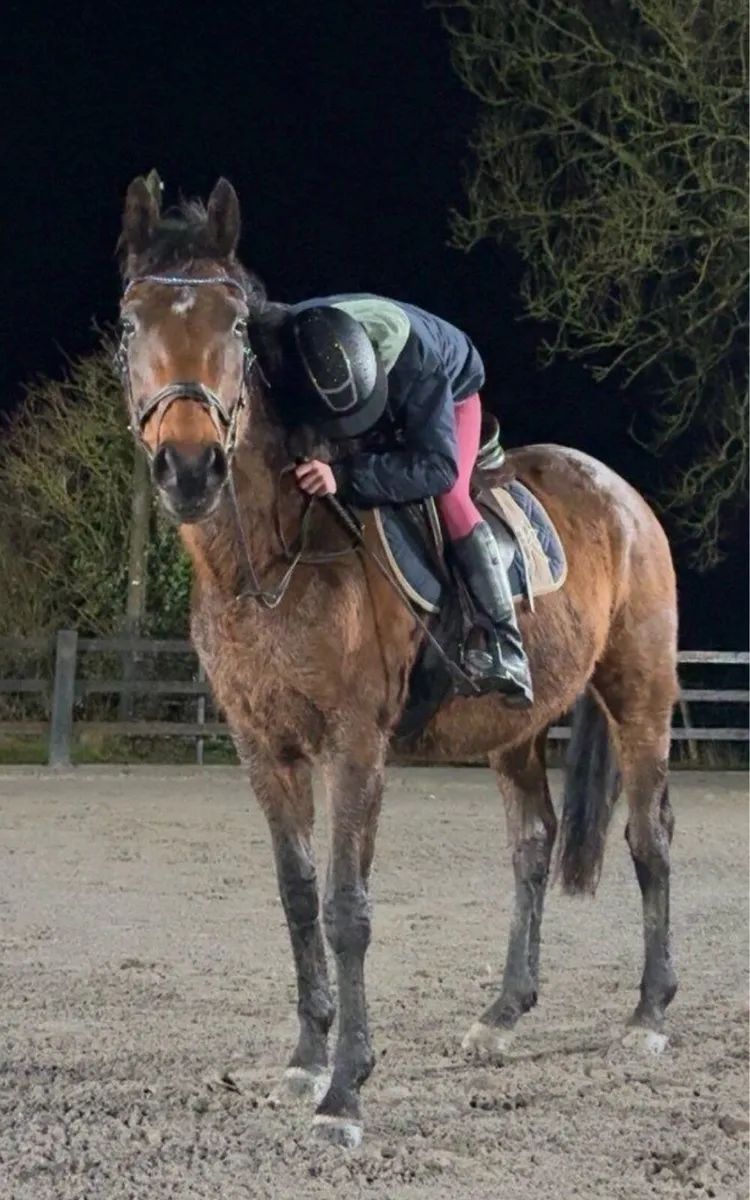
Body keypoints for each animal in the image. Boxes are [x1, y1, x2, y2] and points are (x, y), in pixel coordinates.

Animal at [114, 174, 679, 1147]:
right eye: (129, 320)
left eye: (234, 328)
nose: (189, 467)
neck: (270, 560)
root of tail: (624, 497)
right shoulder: (264, 749)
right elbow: (297, 895)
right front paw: (307, 1058)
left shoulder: (354, 746)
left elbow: (347, 910)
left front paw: (346, 1091)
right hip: (516, 730)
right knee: (532, 846)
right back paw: (502, 1014)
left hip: (639, 695)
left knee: (649, 836)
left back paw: (647, 1014)